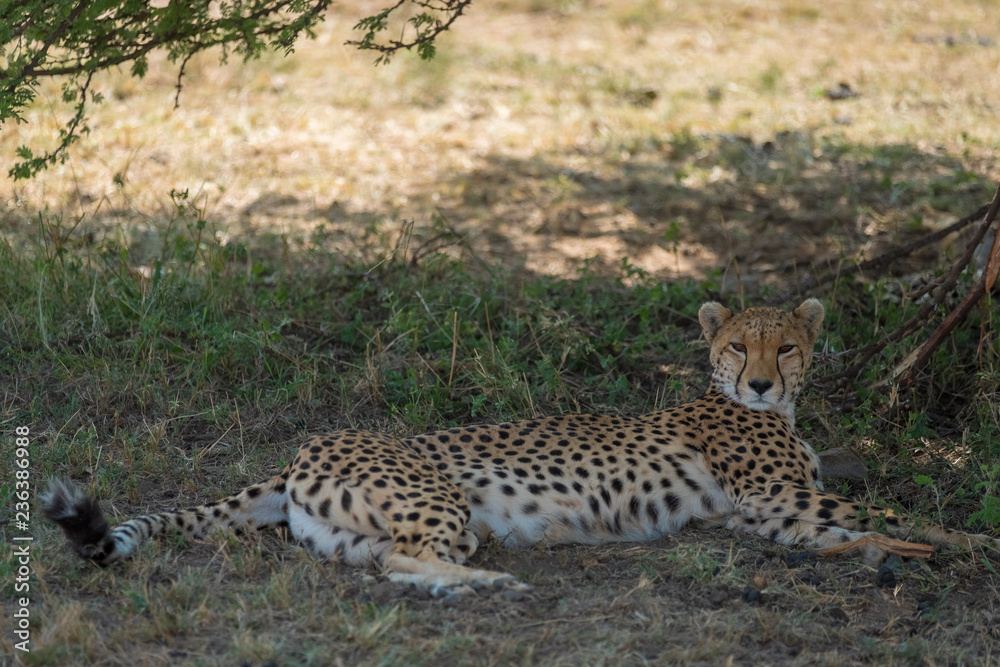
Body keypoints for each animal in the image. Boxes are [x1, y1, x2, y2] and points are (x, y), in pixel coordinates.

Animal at [43, 298, 996, 596]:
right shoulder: (780, 496)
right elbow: (892, 512)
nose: (761, 384)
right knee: (411, 560)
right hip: (440, 497)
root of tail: (308, 446)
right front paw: (969, 542)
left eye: (788, 347)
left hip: (349, 531)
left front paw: (896, 554)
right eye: (739, 347)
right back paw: (494, 584)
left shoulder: (771, 514)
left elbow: (862, 526)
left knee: (385, 563)